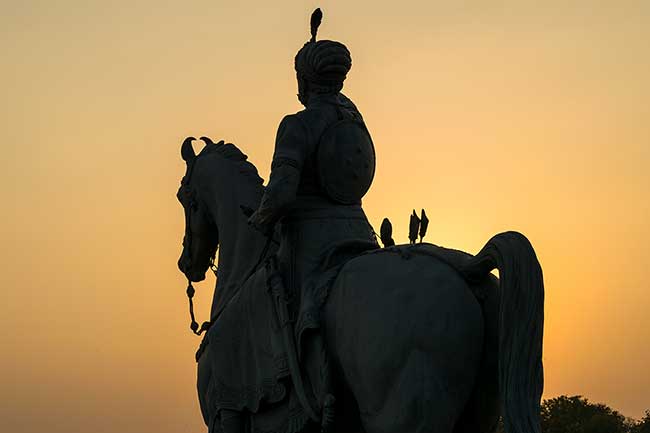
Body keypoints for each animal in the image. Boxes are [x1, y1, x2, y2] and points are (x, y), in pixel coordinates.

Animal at [176, 136, 540, 432]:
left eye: (183, 195)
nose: (186, 263)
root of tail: (465, 266)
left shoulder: (225, 413)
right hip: (478, 414)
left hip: (401, 415)